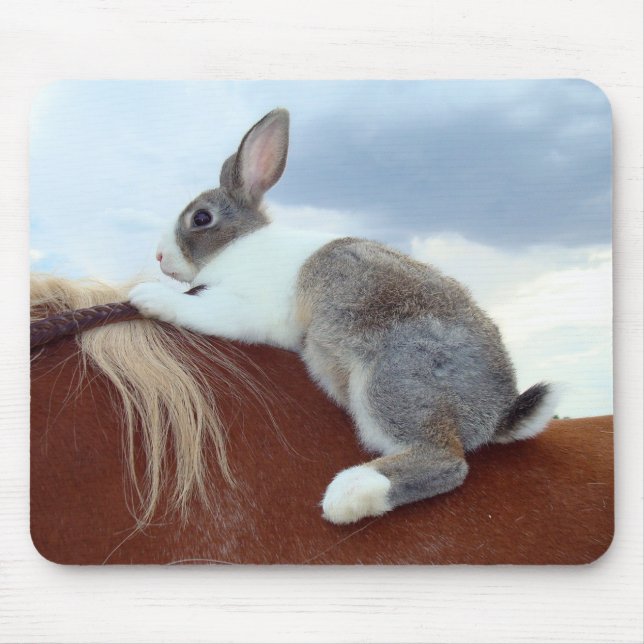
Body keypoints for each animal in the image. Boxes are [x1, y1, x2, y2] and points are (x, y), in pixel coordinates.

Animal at [129, 107, 560, 525]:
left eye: (201, 218)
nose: (160, 257)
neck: (237, 246)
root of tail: (495, 413)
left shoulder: (243, 305)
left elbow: (201, 308)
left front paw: (147, 297)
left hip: (392, 379)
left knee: (446, 461)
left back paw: (350, 494)